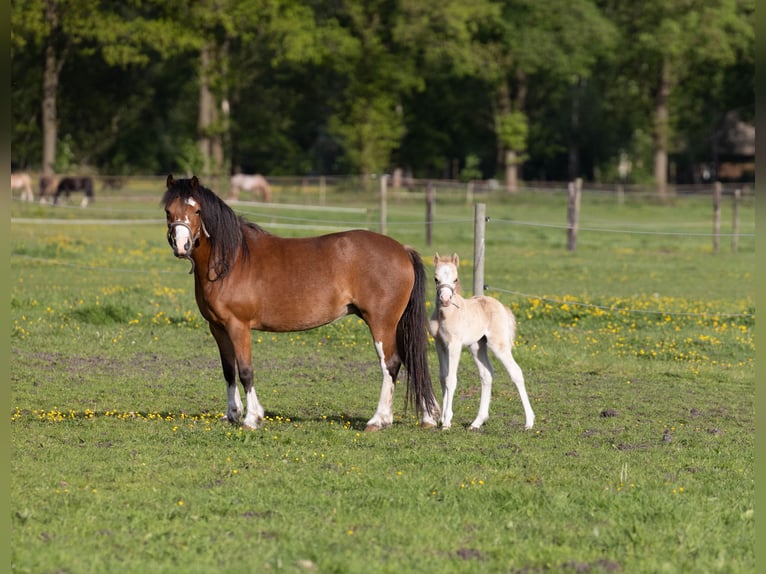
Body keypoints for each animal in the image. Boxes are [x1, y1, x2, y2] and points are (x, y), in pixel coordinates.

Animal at [164, 176, 438, 432]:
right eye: (168, 210)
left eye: (197, 210)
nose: (181, 246)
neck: (231, 260)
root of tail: (402, 249)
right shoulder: (218, 327)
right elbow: (229, 370)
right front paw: (232, 414)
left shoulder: (238, 326)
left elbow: (245, 371)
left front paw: (252, 419)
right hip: (395, 324)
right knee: (409, 361)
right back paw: (421, 418)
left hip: (382, 322)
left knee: (390, 364)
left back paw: (378, 420)